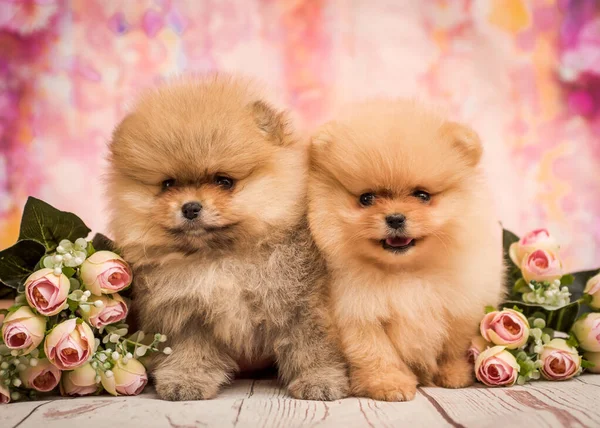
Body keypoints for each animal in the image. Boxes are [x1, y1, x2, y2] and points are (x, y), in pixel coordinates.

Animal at [108, 74, 350, 402]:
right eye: (168, 184)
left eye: (224, 181)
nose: (190, 207)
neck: (221, 256)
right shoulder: (188, 311)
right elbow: (189, 349)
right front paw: (185, 380)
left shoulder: (302, 303)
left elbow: (312, 345)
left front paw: (320, 380)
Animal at [308, 99, 504, 402]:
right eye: (366, 198)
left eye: (422, 195)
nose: (396, 218)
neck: (406, 272)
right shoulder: (358, 313)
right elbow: (377, 354)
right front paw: (390, 384)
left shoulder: (460, 307)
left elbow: (454, 347)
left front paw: (454, 375)